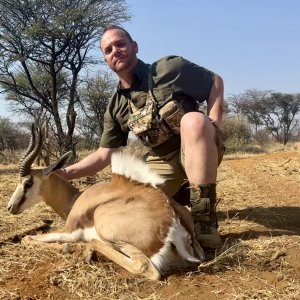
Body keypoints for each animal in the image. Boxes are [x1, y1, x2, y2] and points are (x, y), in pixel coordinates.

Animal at [7, 123, 205, 280]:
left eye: (28, 182)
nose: (10, 207)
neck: (75, 199)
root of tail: (174, 218)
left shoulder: (69, 231)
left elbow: (27, 238)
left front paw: (66, 248)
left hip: (107, 230)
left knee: (143, 266)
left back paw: (87, 252)